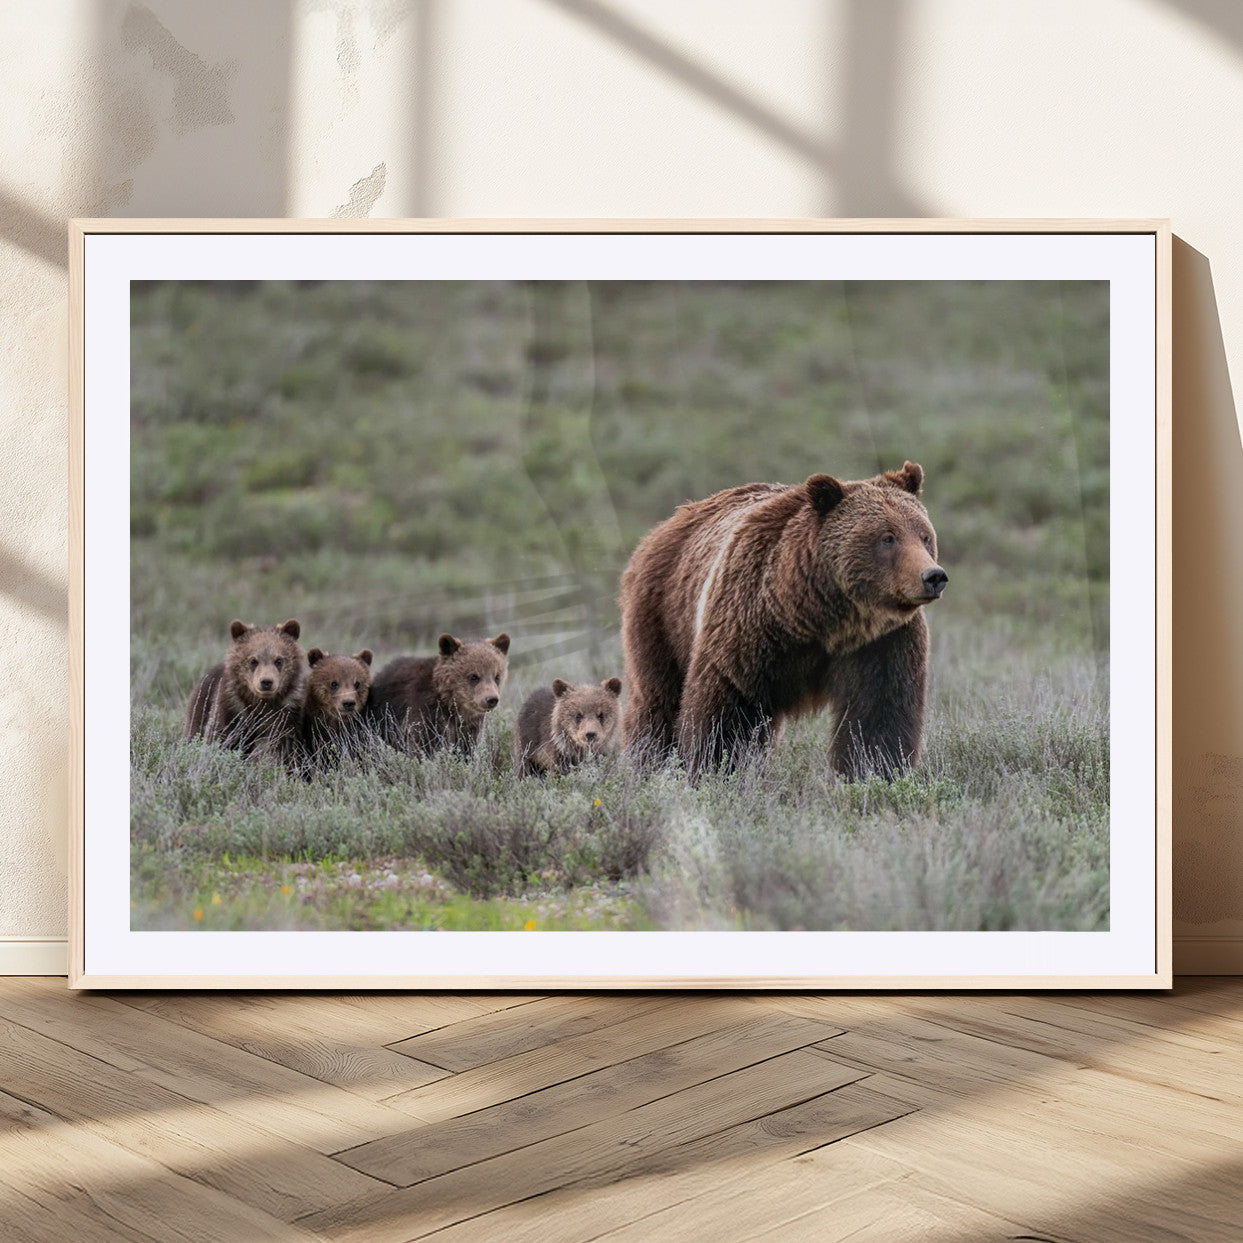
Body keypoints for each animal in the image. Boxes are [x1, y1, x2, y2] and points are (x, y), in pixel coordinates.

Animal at [184, 619, 310, 762]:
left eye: (279, 660)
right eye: (253, 660)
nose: (266, 682)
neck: (261, 702)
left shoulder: (287, 713)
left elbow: (281, 744)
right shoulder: (231, 708)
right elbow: (218, 735)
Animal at [368, 633, 510, 756]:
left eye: (497, 676)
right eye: (474, 676)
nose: (491, 699)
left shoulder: (468, 725)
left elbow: (465, 746)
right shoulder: (426, 711)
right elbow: (424, 744)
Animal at [619, 461, 947, 779]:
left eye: (924, 535)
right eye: (887, 537)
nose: (933, 576)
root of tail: (668, 524)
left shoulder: (881, 642)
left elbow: (879, 716)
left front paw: (873, 773)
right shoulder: (748, 627)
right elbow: (727, 712)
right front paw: (715, 770)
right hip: (664, 615)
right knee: (657, 700)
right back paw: (647, 762)